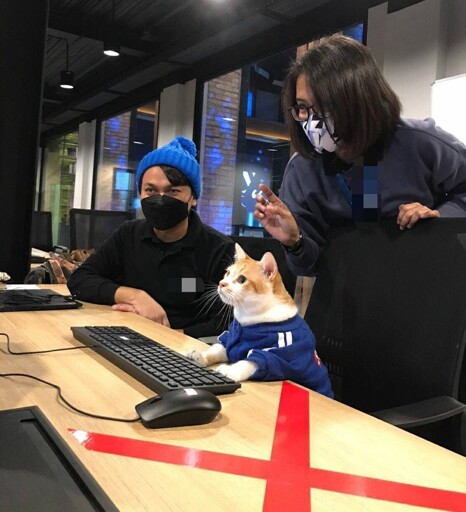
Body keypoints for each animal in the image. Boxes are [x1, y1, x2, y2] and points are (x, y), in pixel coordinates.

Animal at [187, 242, 334, 398]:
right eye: (227, 273)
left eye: (242, 280)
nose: (221, 283)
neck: (248, 320)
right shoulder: (229, 340)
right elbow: (216, 349)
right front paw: (200, 356)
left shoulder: (276, 354)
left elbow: (248, 362)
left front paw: (229, 370)